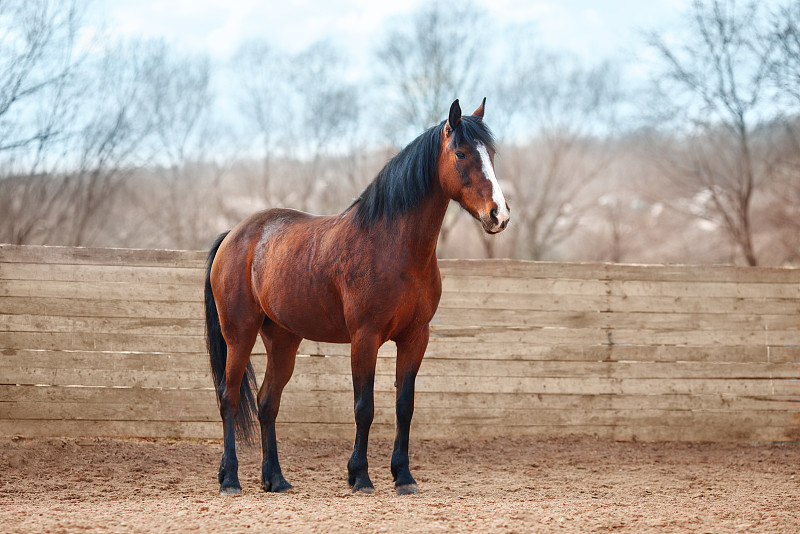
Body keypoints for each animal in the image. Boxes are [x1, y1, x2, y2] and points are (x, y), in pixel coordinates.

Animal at [203, 97, 510, 498]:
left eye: (491, 154)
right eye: (460, 153)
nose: (499, 215)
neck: (393, 246)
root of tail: (234, 235)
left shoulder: (415, 338)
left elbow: (404, 406)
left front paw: (403, 477)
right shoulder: (364, 338)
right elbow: (364, 407)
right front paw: (360, 476)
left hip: (283, 340)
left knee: (267, 403)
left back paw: (276, 479)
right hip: (239, 335)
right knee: (230, 398)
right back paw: (231, 479)